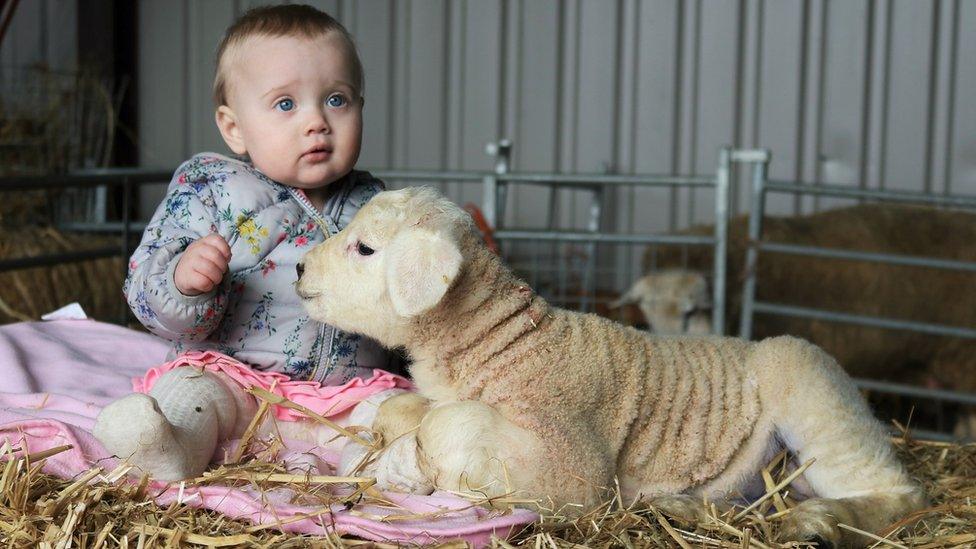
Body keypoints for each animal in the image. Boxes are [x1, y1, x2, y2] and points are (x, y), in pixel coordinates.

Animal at [294, 186, 928, 544]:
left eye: (365, 248)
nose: (299, 269)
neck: (500, 343)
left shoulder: (571, 469)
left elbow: (444, 423)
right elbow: (399, 405)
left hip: (811, 388)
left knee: (901, 494)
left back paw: (821, 525)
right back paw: (682, 507)